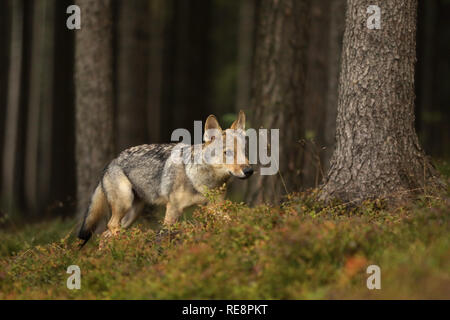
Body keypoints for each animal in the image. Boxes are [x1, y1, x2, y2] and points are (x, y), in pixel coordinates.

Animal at [78, 110, 253, 245]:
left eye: (244, 152)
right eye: (227, 153)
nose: (249, 170)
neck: (203, 180)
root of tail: (110, 163)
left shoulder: (214, 207)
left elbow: (229, 218)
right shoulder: (173, 209)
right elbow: (166, 234)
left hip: (133, 213)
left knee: (104, 234)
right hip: (125, 204)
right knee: (111, 226)